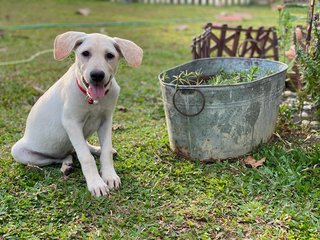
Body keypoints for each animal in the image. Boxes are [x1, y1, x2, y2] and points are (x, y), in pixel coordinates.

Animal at [11, 31, 143, 196]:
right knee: (60, 157)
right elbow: (85, 157)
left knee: (76, 149)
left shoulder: (106, 121)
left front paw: (109, 175)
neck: (93, 100)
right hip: (19, 151)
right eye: (85, 53)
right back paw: (66, 164)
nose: (97, 75)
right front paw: (96, 183)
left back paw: (94, 150)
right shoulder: (71, 123)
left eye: (110, 55)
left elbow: (105, 151)